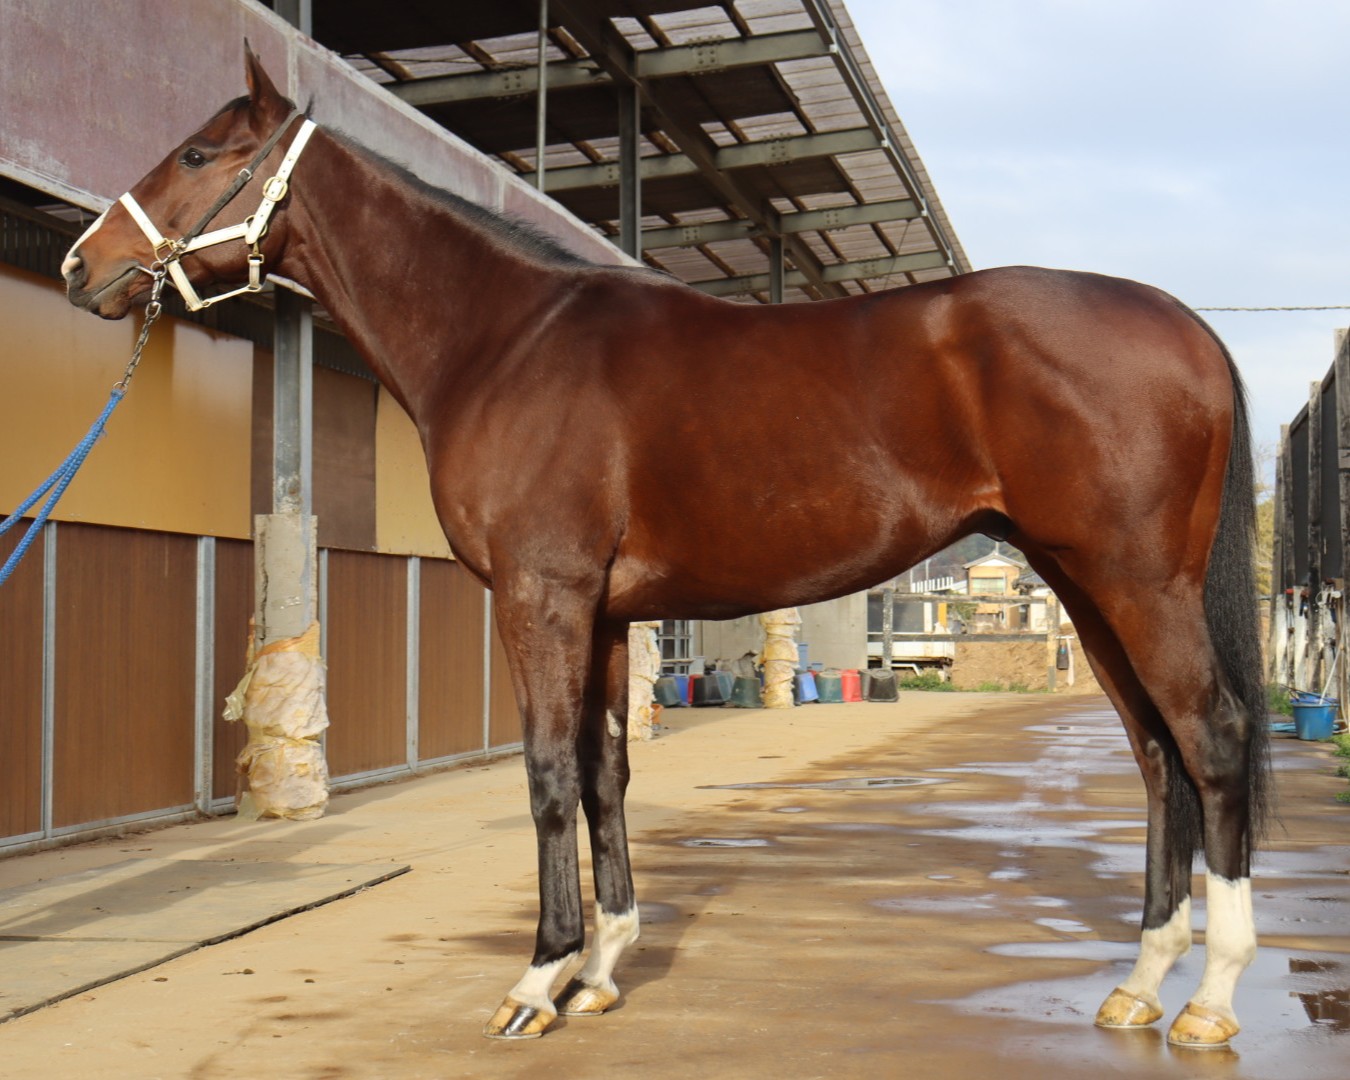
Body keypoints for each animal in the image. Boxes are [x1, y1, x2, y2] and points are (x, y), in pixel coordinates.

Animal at [62, 48, 1269, 1048]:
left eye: (197, 154)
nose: (81, 266)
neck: (506, 342)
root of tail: (1190, 327)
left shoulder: (541, 598)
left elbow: (551, 775)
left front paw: (538, 979)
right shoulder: (600, 612)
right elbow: (608, 774)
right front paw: (600, 971)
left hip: (1135, 582)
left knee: (1209, 739)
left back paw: (1210, 1000)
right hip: (1085, 586)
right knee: (1155, 753)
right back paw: (1138, 984)